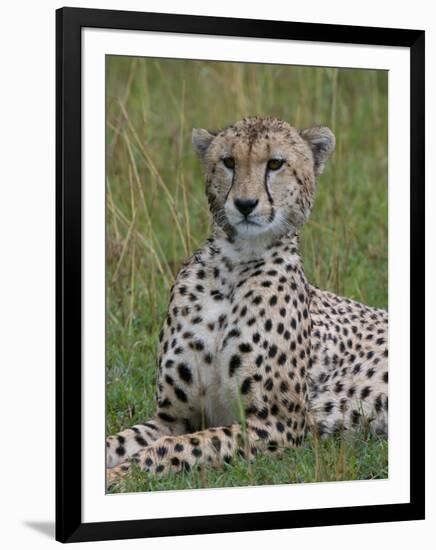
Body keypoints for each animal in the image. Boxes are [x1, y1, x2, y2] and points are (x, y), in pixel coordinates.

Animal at [106, 116, 388, 488]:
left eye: (275, 164)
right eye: (229, 162)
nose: (244, 204)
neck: (233, 263)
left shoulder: (278, 424)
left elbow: (176, 448)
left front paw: (120, 474)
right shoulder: (172, 418)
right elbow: (120, 441)